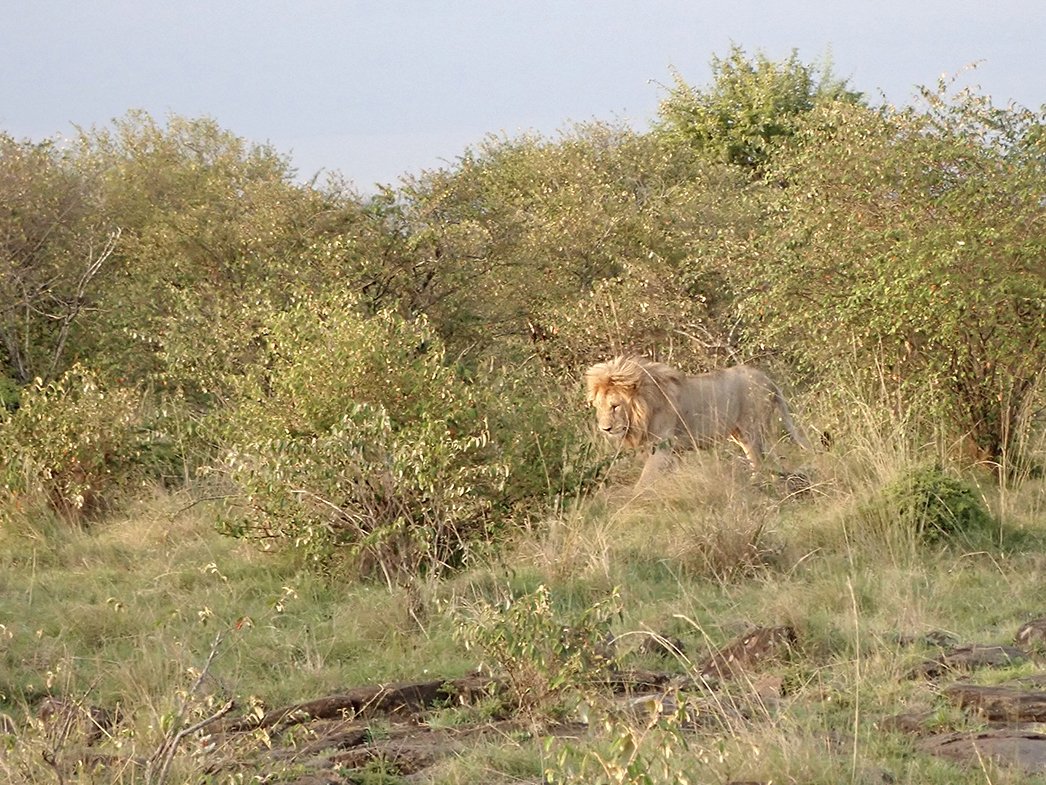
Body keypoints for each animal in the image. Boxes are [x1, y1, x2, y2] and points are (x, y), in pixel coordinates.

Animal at [585, 355, 811, 485]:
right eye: (599, 406)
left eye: (615, 406)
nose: (605, 429)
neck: (644, 410)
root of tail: (767, 378)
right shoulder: (673, 451)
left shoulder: (662, 447)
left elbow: (644, 481)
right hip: (740, 433)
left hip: (753, 428)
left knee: (763, 458)